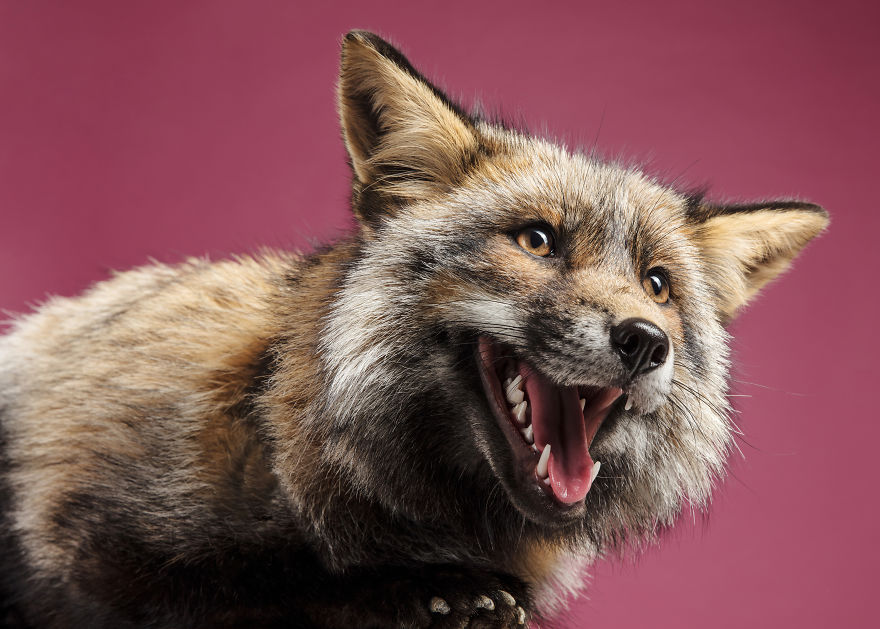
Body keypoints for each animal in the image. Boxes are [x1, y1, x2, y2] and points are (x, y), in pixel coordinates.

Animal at [0, 30, 827, 628]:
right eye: (537, 240)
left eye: (658, 284)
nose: (645, 341)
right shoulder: (87, 547)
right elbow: (261, 581)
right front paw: (426, 590)